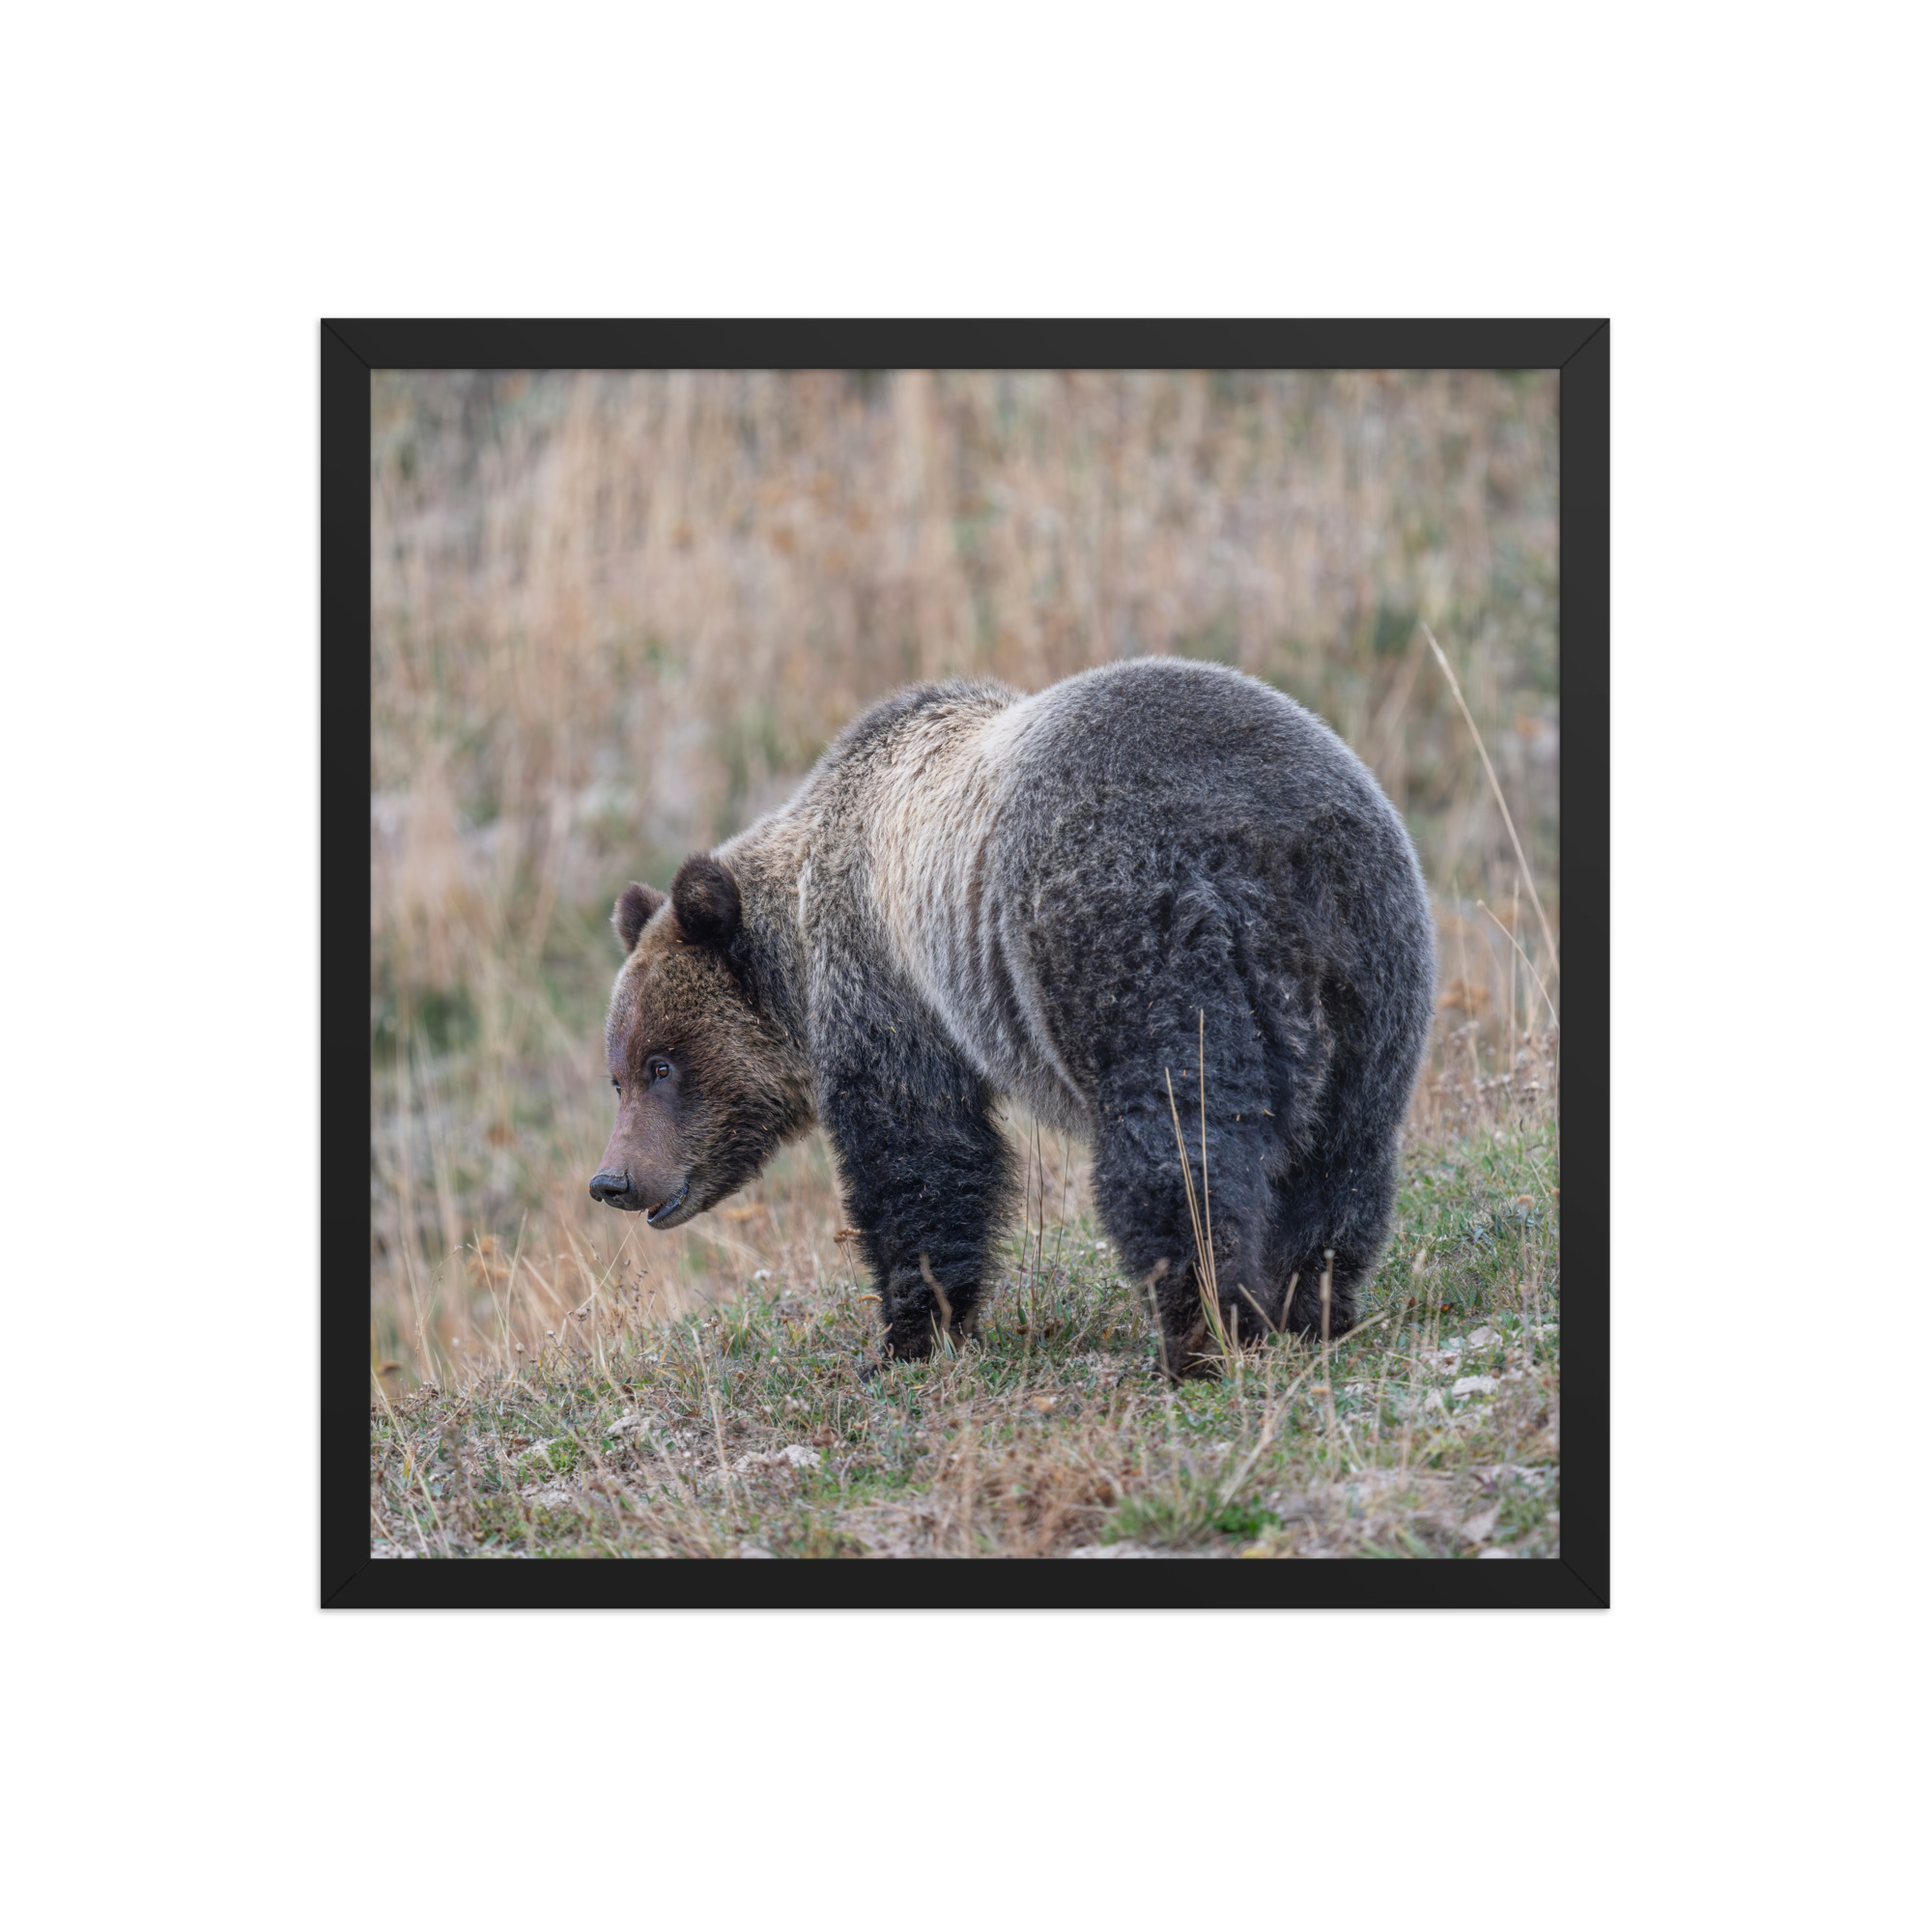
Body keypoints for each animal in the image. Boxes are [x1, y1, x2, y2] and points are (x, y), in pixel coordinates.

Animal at [589, 655, 1435, 1378]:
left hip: (1133, 938)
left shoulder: (889, 985)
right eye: (618, 1075)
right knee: (1343, 1152)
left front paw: (909, 1335)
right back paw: (1310, 1306)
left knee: (1178, 1145)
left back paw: (1200, 1334)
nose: (613, 1179)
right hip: (1372, 964)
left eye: (662, 1064)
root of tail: (1271, 843)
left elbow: (920, 1156)